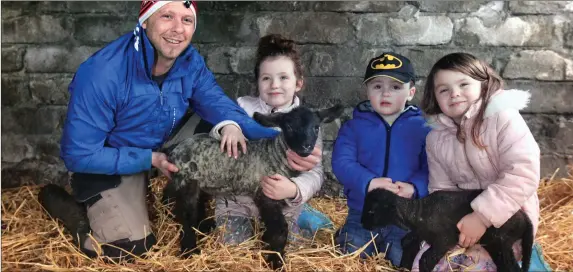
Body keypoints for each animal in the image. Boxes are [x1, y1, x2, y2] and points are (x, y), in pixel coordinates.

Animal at [165, 104, 344, 270]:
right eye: (289, 127)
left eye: (316, 127)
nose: (306, 147)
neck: (277, 156)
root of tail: (176, 149)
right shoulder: (266, 195)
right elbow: (279, 230)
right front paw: (275, 260)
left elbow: (271, 226)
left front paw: (267, 245)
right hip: (186, 181)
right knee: (185, 214)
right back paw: (189, 249)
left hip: (201, 182)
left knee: (197, 205)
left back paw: (203, 227)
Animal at [362, 188, 532, 272]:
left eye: (371, 211)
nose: (363, 224)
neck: (419, 212)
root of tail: (525, 217)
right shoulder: (420, 234)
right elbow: (407, 241)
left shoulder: (445, 239)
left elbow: (425, 259)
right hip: (496, 244)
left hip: (501, 240)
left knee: (512, 267)